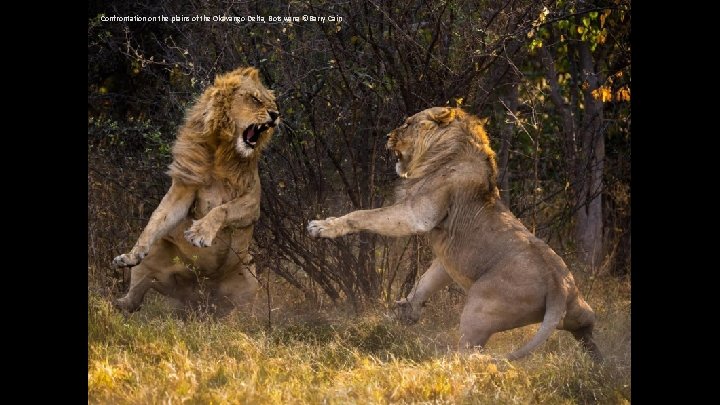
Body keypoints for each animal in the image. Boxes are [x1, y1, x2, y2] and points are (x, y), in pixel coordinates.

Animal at [114, 67, 280, 316]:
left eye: (272, 102)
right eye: (255, 99)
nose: (276, 115)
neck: (222, 150)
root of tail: (199, 295)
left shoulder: (252, 203)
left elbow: (222, 209)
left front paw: (200, 233)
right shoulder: (184, 186)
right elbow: (157, 219)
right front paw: (132, 253)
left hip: (250, 279)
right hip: (153, 260)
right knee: (136, 297)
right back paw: (118, 298)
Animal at [310, 106, 600, 360]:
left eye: (407, 124)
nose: (386, 137)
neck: (449, 151)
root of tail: (558, 286)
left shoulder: (416, 215)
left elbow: (364, 215)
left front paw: (322, 227)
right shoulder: (445, 256)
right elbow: (426, 280)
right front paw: (407, 310)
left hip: (478, 308)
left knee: (469, 352)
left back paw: (442, 363)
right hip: (580, 311)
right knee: (587, 329)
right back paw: (599, 365)